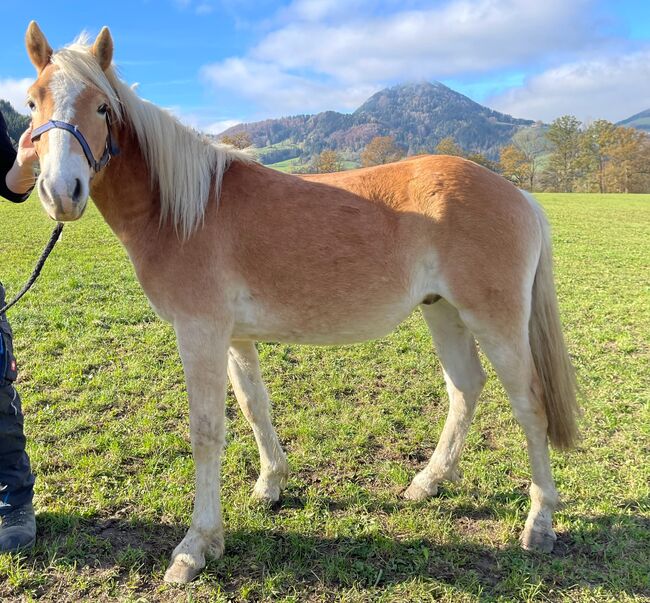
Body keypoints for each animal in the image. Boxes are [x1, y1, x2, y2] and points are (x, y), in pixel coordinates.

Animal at [22, 23, 576, 584]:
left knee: (530, 405)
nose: (60, 192)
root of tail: (519, 196)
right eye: (32, 102)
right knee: (465, 388)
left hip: (495, 321)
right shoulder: (234, 336)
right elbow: (253, 406)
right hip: (442, 311)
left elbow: (206, 431)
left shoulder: (200, 330)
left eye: (102, 108)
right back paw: (428, 482)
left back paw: (539, 523)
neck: (184, 211)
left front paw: (196, 545)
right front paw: (271, 484)